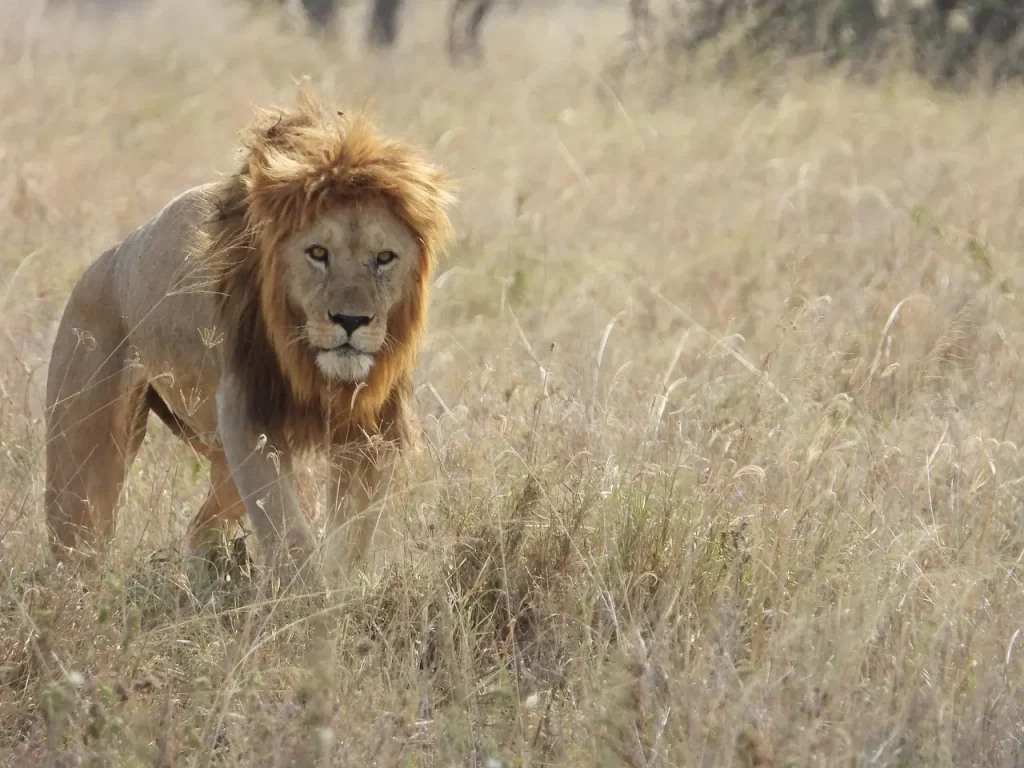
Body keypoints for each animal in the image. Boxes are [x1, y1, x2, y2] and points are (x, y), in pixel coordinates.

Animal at [43, 88, 455, 585]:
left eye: (384, 258)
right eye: (318, 253)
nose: (351, 320)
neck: (315, 370)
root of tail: (110, 257)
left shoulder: (372, 431)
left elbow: (353, 534)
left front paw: (340, 589)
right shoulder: (247, 413)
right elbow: (287, 528)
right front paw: (305, 596)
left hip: (220, 462)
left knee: (198, 526)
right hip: (85, 455)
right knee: (79, 540)